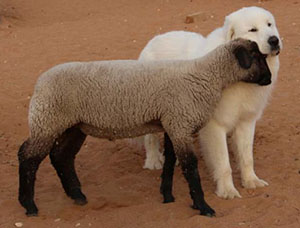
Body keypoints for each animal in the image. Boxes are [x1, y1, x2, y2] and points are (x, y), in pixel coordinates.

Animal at [18, 38, 272, 216]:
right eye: (257, 57)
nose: (269, 79)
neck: (205, 76)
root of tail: (40, 82)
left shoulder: (172, 123)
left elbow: (170, 162)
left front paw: (167, 196)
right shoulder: (180, 123)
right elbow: (190, 166)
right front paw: (203, 206)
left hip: (73, 126)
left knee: (61, 156)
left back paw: (77, 195)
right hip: (47, 121)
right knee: (28, 157)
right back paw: (29, 205)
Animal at [138, 6, 282, 200]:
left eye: (269, 25)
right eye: (253, 30)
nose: (274, 40)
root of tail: (153, 40)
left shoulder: (246, 121)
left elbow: (247, 157)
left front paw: (251, 181)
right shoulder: (215, 126)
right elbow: (223, 163)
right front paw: (227, 191)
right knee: (150, 138)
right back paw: (153, 160)